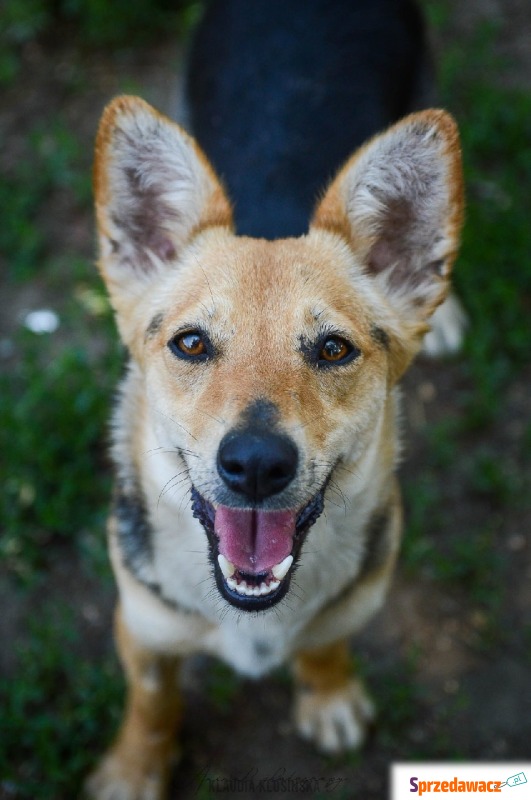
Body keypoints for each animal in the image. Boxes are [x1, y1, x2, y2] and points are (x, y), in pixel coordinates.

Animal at [85, 3, 464, 796]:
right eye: (191, 344)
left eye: (334, 350)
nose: (256, 464)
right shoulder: (143, 626)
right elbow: (152, 704)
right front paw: (135, 769)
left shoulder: (352, 606)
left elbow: (324, 648)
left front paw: (328, 695)